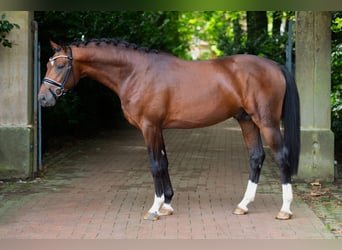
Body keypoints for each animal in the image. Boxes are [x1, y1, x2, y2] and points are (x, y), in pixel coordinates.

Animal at [38, 39, 300, 221]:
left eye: (60, 65)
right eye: (49, 64)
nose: (43, 98)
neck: (136, 72)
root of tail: (273, 65)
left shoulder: (149, 127)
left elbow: (155, 165)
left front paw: (154, 209)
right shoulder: (158, 128)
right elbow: (164, 163)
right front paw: (167, 204)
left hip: (266, 122)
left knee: (281, 157)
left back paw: (285, 209)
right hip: (246, 120)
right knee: (256, 157)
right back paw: (243, 205)